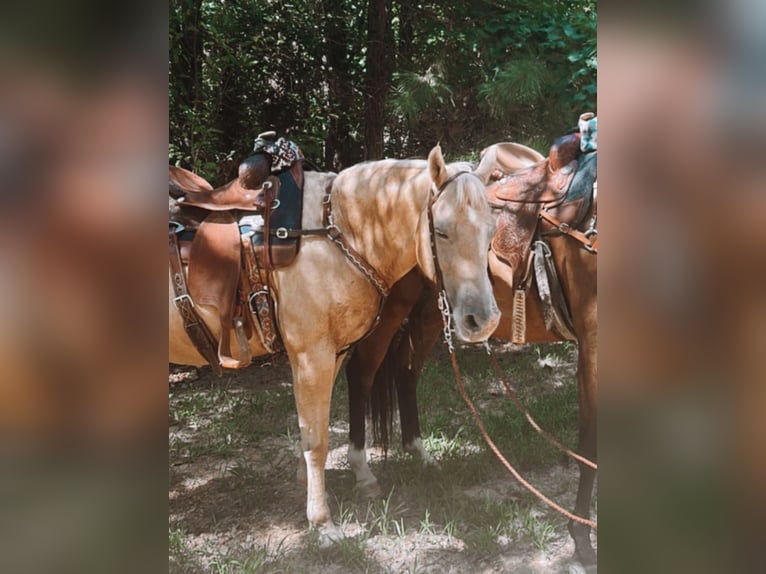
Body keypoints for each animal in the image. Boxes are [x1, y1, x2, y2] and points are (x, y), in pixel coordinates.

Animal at [169, 144, 501, 543]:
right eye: (442, 231)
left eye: (491, 230)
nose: (482, 320)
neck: (336, 232)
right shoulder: (312, 355)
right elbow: (318, 441)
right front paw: (322, 522)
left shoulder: (335, 352)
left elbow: (314, 427)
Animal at [345, 137, 598, 565]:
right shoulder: (595, 346)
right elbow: (591, 444)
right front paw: (582, 537)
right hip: (393, 308)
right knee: (362, 371)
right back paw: (364, 473)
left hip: (435, 309)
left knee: (406, 370)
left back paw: (419, 453)